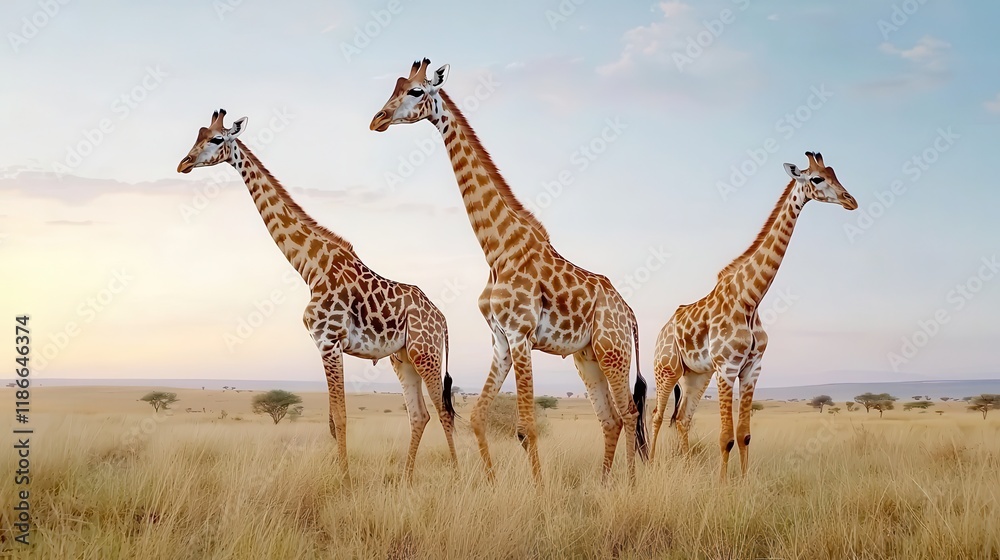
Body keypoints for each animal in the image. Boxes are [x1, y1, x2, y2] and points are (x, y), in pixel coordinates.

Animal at [176, 109, 457, 481]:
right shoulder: (322, 345)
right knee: (420, 414)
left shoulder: (330, 341)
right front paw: (343, 475)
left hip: (426, 353)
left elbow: (340, 417)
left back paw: (459, 476)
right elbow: (331, 423)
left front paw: (345, 481)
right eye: (197, 135)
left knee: (443, 411)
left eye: (216, 139)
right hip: (403, 358)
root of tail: (442, 319)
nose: (183, 163)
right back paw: (406, 479)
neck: (310, 267)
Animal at [370, 59, 648, 484]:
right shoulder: (499, 339)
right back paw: (603, 484)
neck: (496, 250)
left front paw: (540, 491)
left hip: (612, 350)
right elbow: (478, 417)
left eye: (416, 91)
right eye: (395, 86)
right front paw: (491, 482)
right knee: (610, 419)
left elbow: (527, 425)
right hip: (587, 357)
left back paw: (629, 486)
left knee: (629, 413)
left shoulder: (521, 335)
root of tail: (629, 313)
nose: (377, 119)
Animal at [648, 151, 857, 480]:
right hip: (667, 369)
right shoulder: (727, 367)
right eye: (817, 178)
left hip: (696, 374)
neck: (751, 299)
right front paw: (723, 484)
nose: (851, 201)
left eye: (836, 174)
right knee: (657, 415)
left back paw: (688, 466)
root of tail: (662, 331)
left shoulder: (752, 368)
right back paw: (650, 465)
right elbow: (726, 437)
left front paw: (744, 482)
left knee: (683, 418)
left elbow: (744, 434)